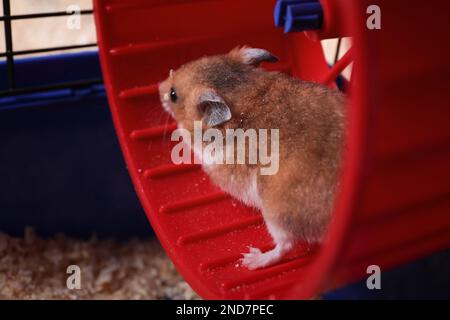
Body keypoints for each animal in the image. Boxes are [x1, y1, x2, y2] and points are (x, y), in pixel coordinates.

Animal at [158, 46, 344, 268]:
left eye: (173, 94)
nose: (158, 87)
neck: (246, 93)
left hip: (276, 213)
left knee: (285, 245)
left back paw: (250, 260)